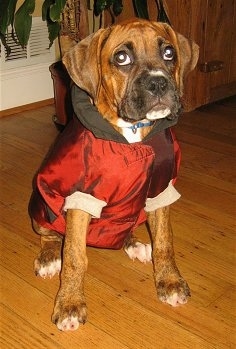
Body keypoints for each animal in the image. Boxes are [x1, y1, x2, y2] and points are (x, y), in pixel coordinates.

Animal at [29, 18, 199, 328]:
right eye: (122, 58)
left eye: (169, 53)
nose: (158, 82)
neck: (132, 137)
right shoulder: (81, 198)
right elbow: (74, 257)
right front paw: (70, 304)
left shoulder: (160, 190)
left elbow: (165, 242)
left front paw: (170, 282)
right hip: (42, 201)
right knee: (52, 236)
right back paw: (48, 258)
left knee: (125, 227)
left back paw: (133, 244)